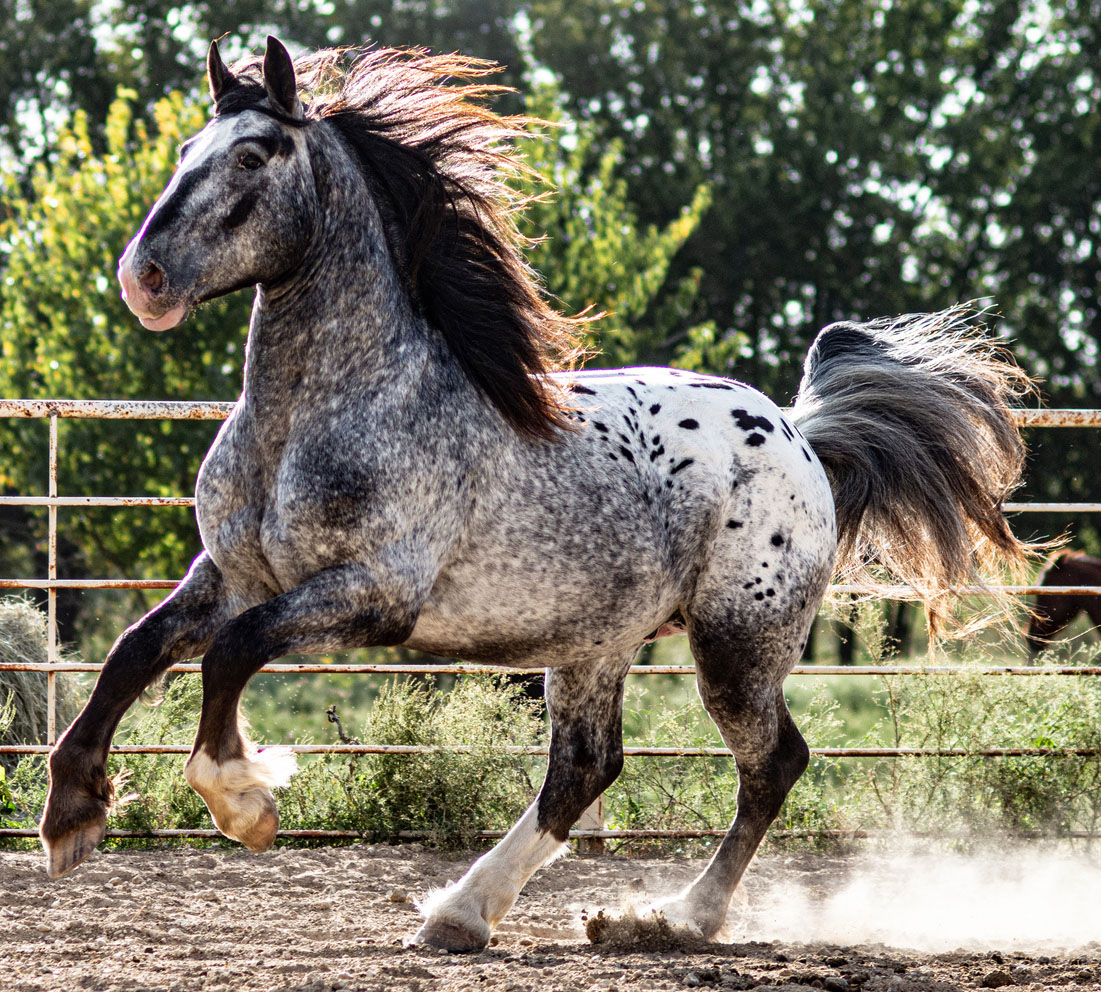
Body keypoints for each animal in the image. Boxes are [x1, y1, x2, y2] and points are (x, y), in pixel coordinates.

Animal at [42, 40, 1034, 951]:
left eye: (252, 156)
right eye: (185, 150)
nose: (143, 277)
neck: (318, 414)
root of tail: (796, 433)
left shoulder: (371, 596)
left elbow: (229, 654)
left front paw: (243, 803)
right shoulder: (234, 575)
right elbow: (135, 651)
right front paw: (72, 816)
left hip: (736, 644)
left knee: (771, 764)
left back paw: (672, 918)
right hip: (593, 645)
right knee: (586, 769)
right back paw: (465, 912)